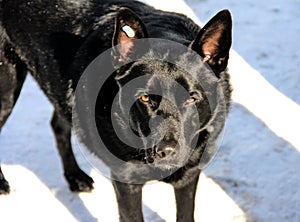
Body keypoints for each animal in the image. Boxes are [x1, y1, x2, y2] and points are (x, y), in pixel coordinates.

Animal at [0, 0, 232, 221]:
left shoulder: (189, 176)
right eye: (145, 98)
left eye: (191, 98)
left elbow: (185, 215)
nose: (166, 151)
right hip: (8, 92)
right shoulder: (127, 183)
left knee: (58, 125)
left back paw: (75, 176)